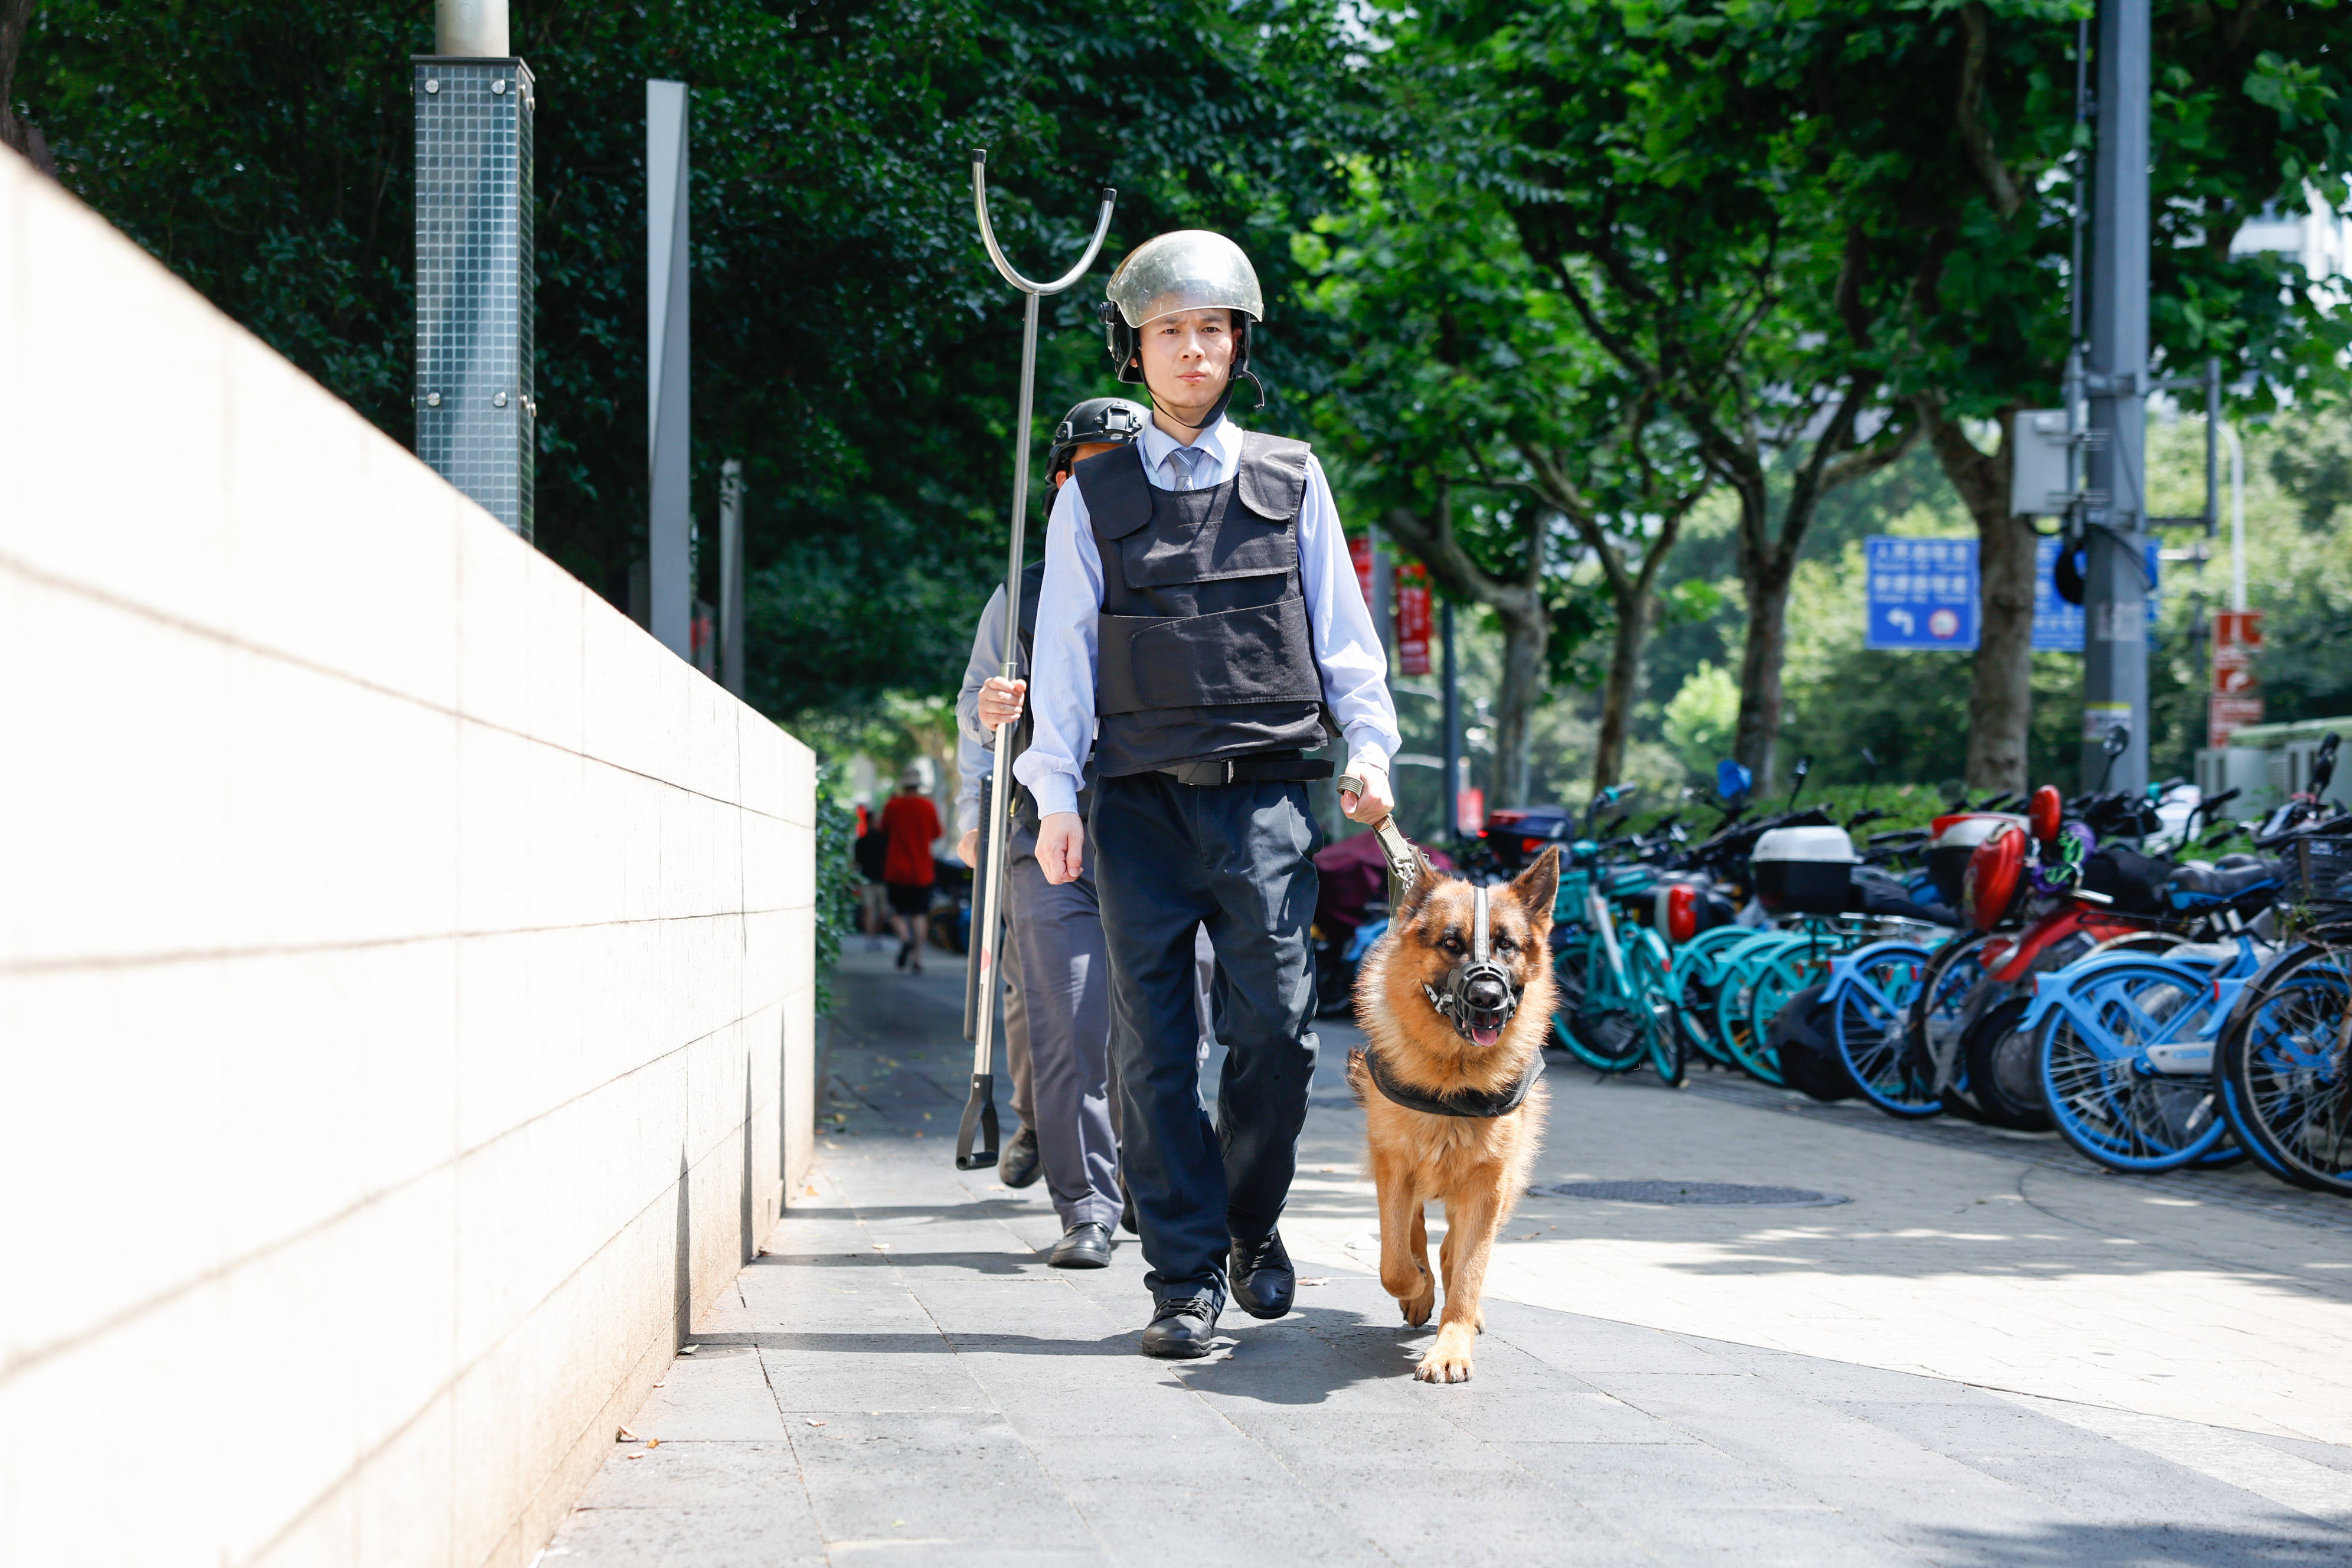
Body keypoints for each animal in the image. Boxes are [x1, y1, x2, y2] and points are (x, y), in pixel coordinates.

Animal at [1345, 851, 1562, 1382]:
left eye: (1506, 945)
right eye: (1450, 944)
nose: (1486, 998)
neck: (1452, 1082)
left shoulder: (1490, 1184)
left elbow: (1467, 1274)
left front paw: (1451, 1348)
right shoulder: (1393, 1167)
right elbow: (1395, 1263)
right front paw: (1416, 1288)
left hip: (1506, 1188)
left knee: (1458, 1251)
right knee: (1417, 1233)